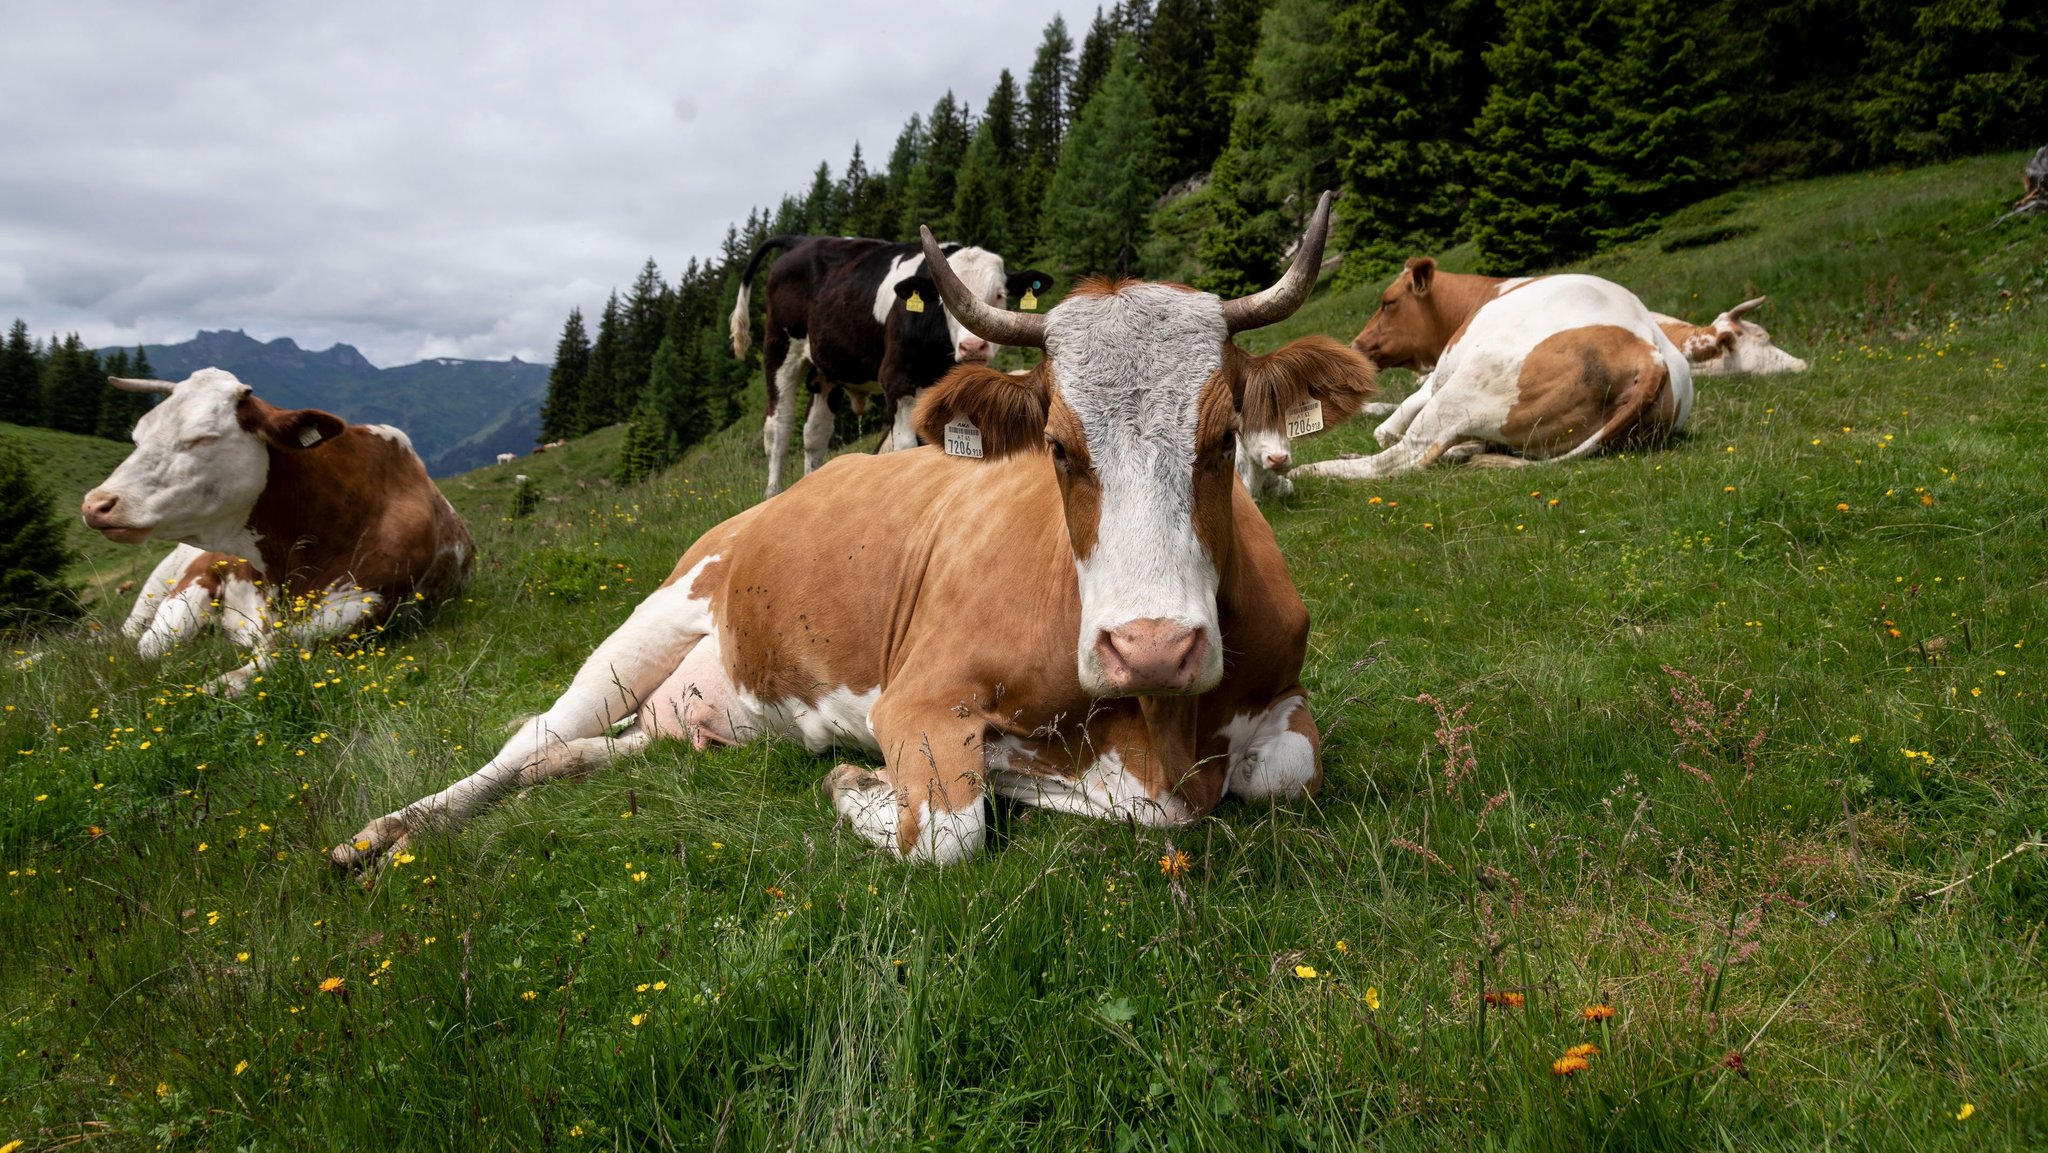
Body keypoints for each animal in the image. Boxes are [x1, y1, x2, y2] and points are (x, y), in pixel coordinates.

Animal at [84, 370, 475, 696]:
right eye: (137, 438)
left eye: (202, 438)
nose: (96, 504)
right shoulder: (199, 575)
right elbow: (149, 647)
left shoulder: (369, 602)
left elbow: (260, 660)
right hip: (155, 583)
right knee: (129, 632)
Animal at [724, 231, 1048, 495]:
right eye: (944, 301)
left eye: (1000, 295)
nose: (972, 347)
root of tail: (799, 240)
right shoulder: (897, 381)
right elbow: (905, 447)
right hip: (780, 349)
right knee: (778, 427)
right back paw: (772, 495)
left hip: (825, 371)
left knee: (815, 433)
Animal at [1286, 259, 1703, 481]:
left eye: (1388, 302)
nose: (1356, 345)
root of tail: (1648, 350)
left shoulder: (1438, 376)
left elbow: (1397, 416)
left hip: (1466, 392)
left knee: (1400, 460)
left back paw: (1313, 470)